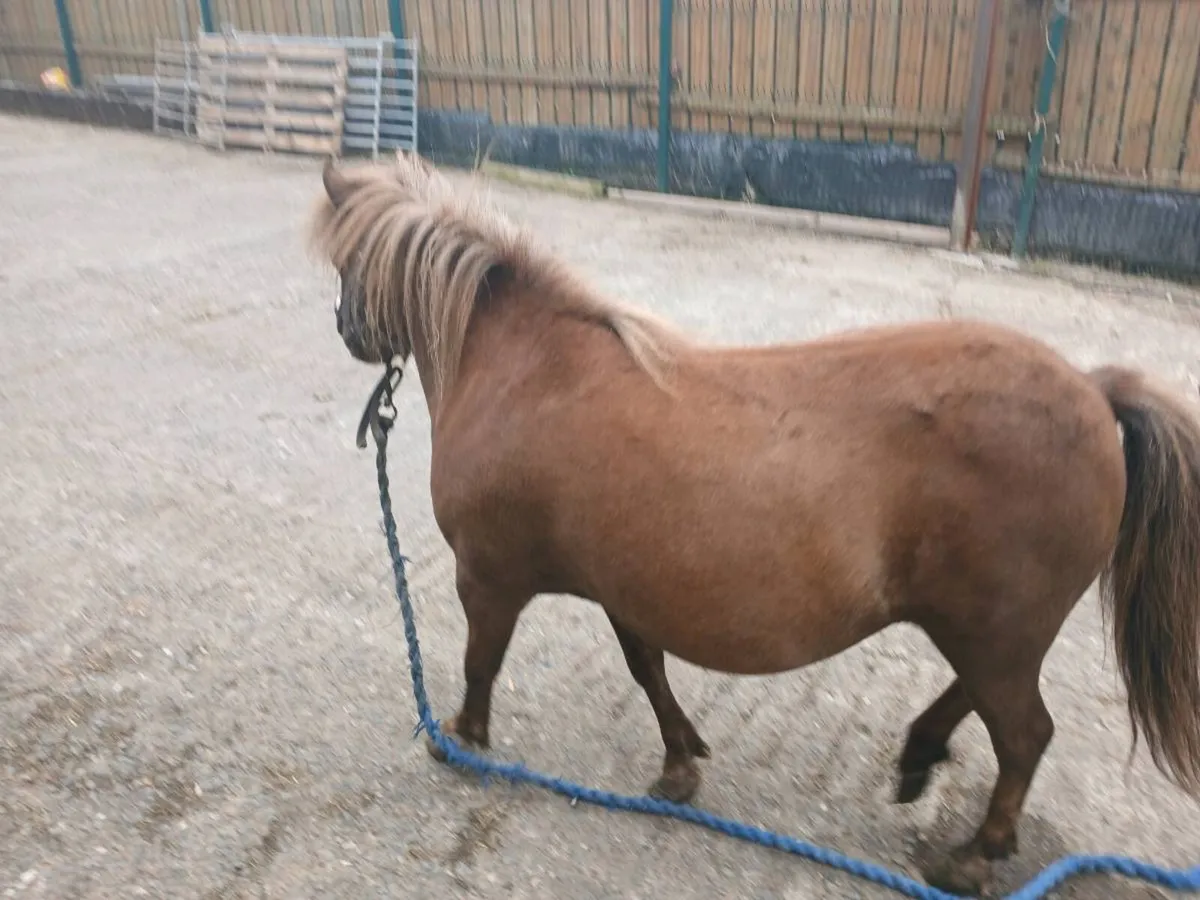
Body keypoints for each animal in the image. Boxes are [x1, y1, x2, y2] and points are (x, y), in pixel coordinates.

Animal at [309, 152, 1200, 897]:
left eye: (347, 264)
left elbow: (479, 663)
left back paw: (975, 857)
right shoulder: (625, 585)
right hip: (988, 633)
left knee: (1022, 737)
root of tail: (1094, 391)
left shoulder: (488, 578)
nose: (346, 330)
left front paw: (460, 740)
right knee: (978, 703)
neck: (528, 370)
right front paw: (679, 765)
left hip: (995, 634)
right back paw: (919, 758)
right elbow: (647, 671)